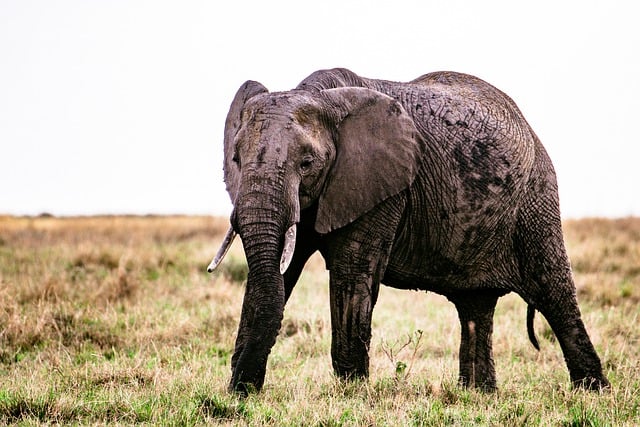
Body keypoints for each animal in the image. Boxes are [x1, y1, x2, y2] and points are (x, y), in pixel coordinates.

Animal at [210, 67, 608, 394]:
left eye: (307, 163)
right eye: (236, 159)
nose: (242, 389)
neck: (319, 95)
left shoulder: (383, 188)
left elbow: (352, 274)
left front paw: (352, 394)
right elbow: (278, 272)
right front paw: (240, 392)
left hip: (535, 197)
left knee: (553, 291)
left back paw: (592, 393)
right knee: (475, 307)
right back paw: (478, 395)